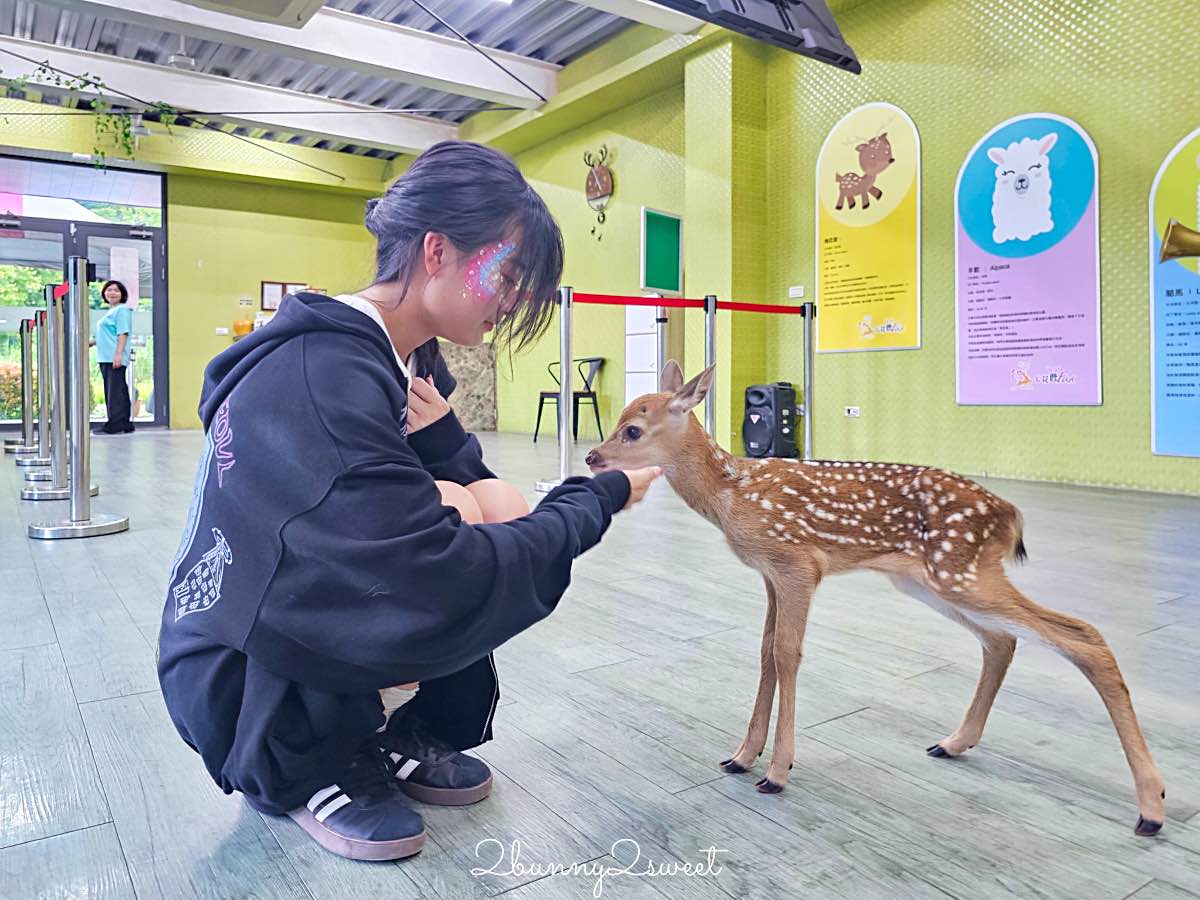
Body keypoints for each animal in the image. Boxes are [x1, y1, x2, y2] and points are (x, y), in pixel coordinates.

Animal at [585, 361, 1167, 837]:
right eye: (618, 420)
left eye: (633, 429)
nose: (592, 456)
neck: (733, 493)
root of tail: (1009, 514)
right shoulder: (771, 575)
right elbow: (766, 652)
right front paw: (742, 755)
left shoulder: (798, 565)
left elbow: (787, 655)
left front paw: (776, 770)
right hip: (935, 579)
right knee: (1002, 641)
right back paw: (953, 742)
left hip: (961, 571)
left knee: (1082, 635)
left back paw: (1151, 806)